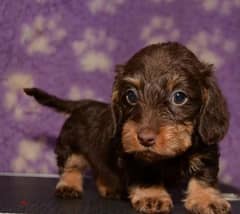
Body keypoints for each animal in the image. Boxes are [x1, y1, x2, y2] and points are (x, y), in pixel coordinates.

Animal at [24, 42, 231, 214]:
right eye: (131, 96)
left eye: (179, 97)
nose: (145, 138)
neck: (169, 157)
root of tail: (83, 104)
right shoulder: (138, 159)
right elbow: (147, 176)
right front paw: (152, 196)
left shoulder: (206, 153)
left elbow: (204, 177)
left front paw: (206, 199)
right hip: (69, 147)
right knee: (71, 166)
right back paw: (69, 185)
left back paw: (109, 188)